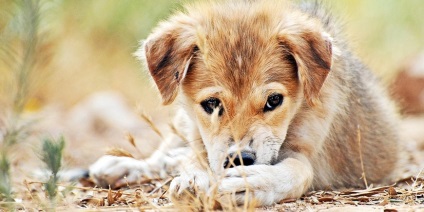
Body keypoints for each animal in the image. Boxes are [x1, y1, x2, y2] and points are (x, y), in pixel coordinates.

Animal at [88, 0, 400, 206]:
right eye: (212, 104)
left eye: (274, 101)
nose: (240, 160)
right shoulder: (200, 133)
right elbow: (197, 158)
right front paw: (193, 178)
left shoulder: (307, 152)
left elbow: (296, 171)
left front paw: (249, 184)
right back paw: (123, 166)